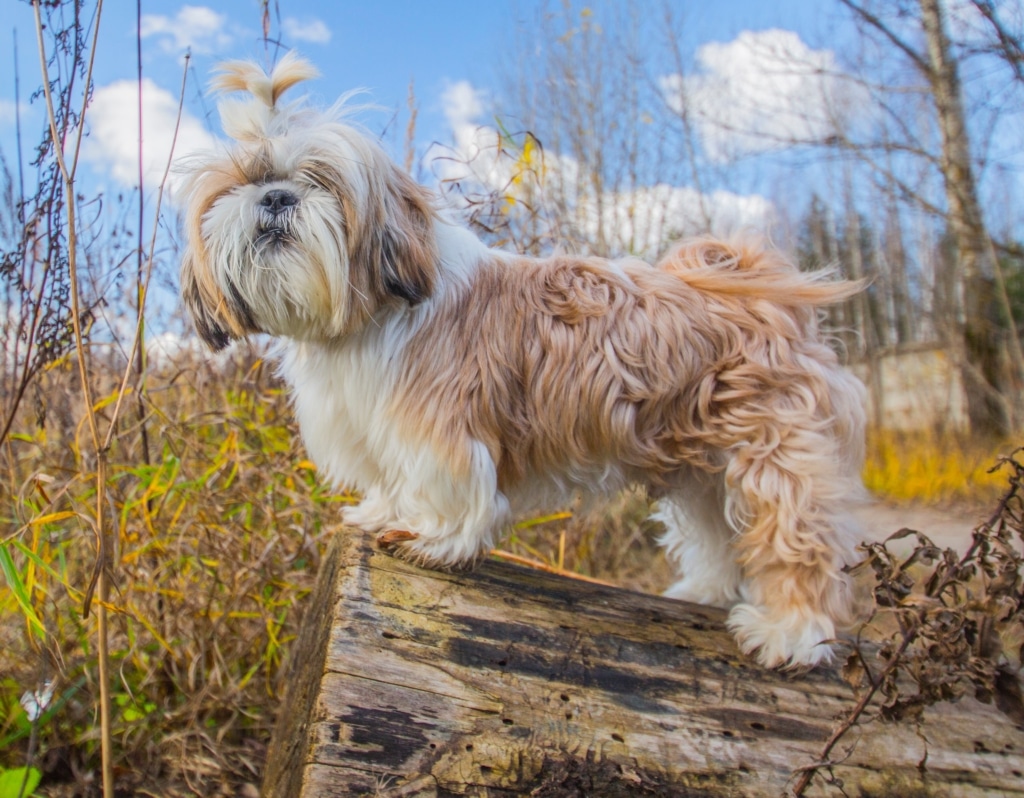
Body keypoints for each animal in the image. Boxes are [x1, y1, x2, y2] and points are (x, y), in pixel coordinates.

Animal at [180, 53, 868, 672]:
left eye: (320, 180)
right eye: (241, 182)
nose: (274, 197)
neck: (364, 316)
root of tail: (763, 292)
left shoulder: (436, 426)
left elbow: (445, 487)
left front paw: (427, 536)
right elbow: (390, 483)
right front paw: (382, 513)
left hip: (773, 452)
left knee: (795, 538)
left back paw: (792, 633)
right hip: (699, 459)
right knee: (714, 532)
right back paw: (705, 591)